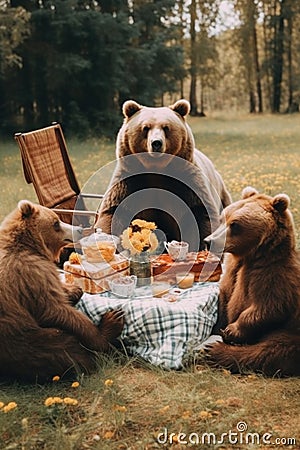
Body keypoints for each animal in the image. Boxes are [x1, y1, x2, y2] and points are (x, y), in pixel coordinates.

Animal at [0, 202, 123, 382]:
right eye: (56, 223)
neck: (30, 246)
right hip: (20, 336)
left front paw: (74, 290)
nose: (78, 229)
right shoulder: (30, 274)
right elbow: (57, 309)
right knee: (63, 349)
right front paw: (107, 326)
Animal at [95, 99, 231, 251]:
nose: (156, 143)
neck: (157, 170)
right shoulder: (130, 180)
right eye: (145, 128)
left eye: (166, 128)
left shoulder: (185, 181)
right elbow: (115, 211)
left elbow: (198, 213)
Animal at [204, 186, 300, 376]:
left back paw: (216, 350)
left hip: (292, 332)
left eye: (235, 224)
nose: (209, 241)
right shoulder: (231, 271)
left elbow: (270, 307)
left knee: (270, 350)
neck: (249, 257)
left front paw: (231, 330)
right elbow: (224, 296)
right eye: (223, 218)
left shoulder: (274, 274)